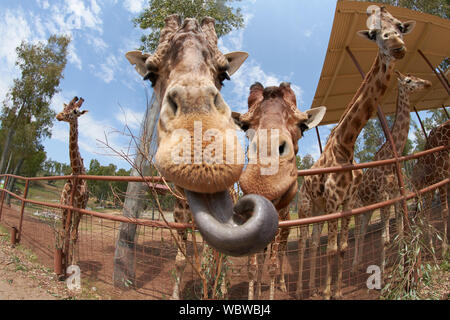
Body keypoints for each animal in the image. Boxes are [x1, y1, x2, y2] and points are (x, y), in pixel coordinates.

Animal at [125, 15, 278, 300]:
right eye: (150, 75)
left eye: (224, 74)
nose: (202, 145)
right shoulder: (179, 207)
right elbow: (181, 258)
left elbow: (212, 256)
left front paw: (215, 292)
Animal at [234, 82, 326, 300]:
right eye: (244, 126)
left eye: (303, 126)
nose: (265, 179)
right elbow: (253, 267)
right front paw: (255, 294)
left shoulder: (278, 232)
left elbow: (273, 266)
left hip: (285, 233)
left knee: (281, 255)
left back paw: (282, 286)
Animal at [296, 5, 414, 300]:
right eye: (374, 33)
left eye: (399, 25)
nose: (397, 46)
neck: (345, 145)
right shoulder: (334, 201)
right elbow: (331, 250)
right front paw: (328, 292)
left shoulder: (346, 203)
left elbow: (341, 249)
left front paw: (335, 292)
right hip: (305, 208)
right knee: (303, 243)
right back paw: (298, 288)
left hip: (319, 209)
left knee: (312, 243)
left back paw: (312, 286)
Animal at [352, 70, 432, 276]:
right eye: (409, 80)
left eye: (417, 77)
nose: (427, 83)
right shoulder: (384, 196)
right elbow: (385, 239)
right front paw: (382, 271)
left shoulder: (396, 195)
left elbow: (400, 232)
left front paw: (403, 266)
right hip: (359, 208)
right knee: (357, 234)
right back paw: (355, 265)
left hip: (369, 209)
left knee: (362, 232)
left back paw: (359, 264)